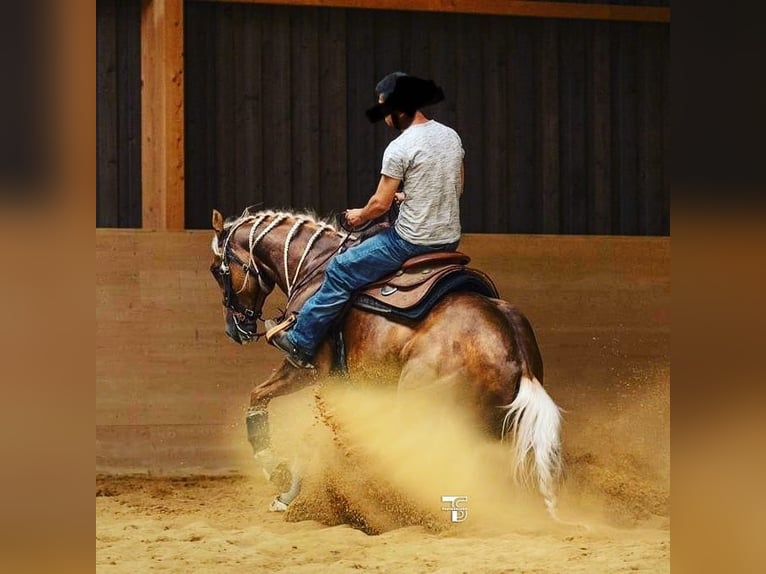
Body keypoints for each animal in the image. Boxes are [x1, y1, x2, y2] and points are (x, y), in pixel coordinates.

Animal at [208, 207, 563, 518]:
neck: (312, 267)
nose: (233, 329)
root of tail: (512, 348)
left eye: (217, 270)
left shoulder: (305, 369)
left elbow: (259, 397)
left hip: (424, 405)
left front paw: (277, 474)